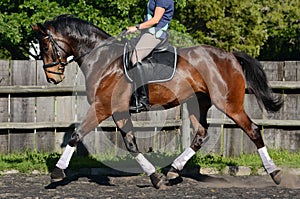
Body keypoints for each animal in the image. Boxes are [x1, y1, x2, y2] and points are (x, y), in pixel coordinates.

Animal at [31, 14, 282, 188]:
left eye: (45, 46)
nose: (52, 77)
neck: (103, 60)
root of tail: (230, 55)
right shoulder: (118, 111)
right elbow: (131, 144)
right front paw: (154, 177)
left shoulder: (102, 107)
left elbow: (77, 134)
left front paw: (57, 172)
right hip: (197, 102)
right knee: (200, 134)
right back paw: (173, 170)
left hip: (228, 103)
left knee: (253, 130)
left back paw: (275, 173)